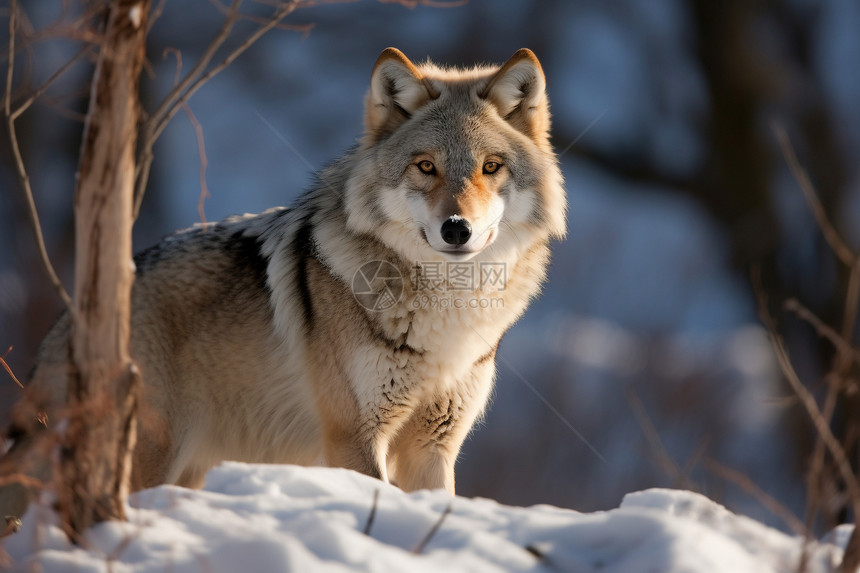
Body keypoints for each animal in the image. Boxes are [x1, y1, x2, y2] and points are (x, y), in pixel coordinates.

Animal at [1, 47, 564, 524]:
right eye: (426, 166)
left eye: (490, 167)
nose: (457, 229)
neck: (446, 313)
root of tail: (70, 319)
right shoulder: (354, 438)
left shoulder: (433, 448)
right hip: (149, 459)